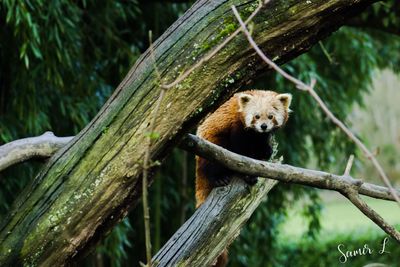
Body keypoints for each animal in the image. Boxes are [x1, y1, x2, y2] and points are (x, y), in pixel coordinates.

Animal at [195, 90, 292, 267]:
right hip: (212, 144)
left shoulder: (261, 138)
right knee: (213, 162)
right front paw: (247, 172)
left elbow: (262, 149)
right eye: (256, 116)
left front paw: (263, 156)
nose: (263, 126)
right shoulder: (236, 128)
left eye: (270, 116)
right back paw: (219, 178)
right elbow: (240, 151)